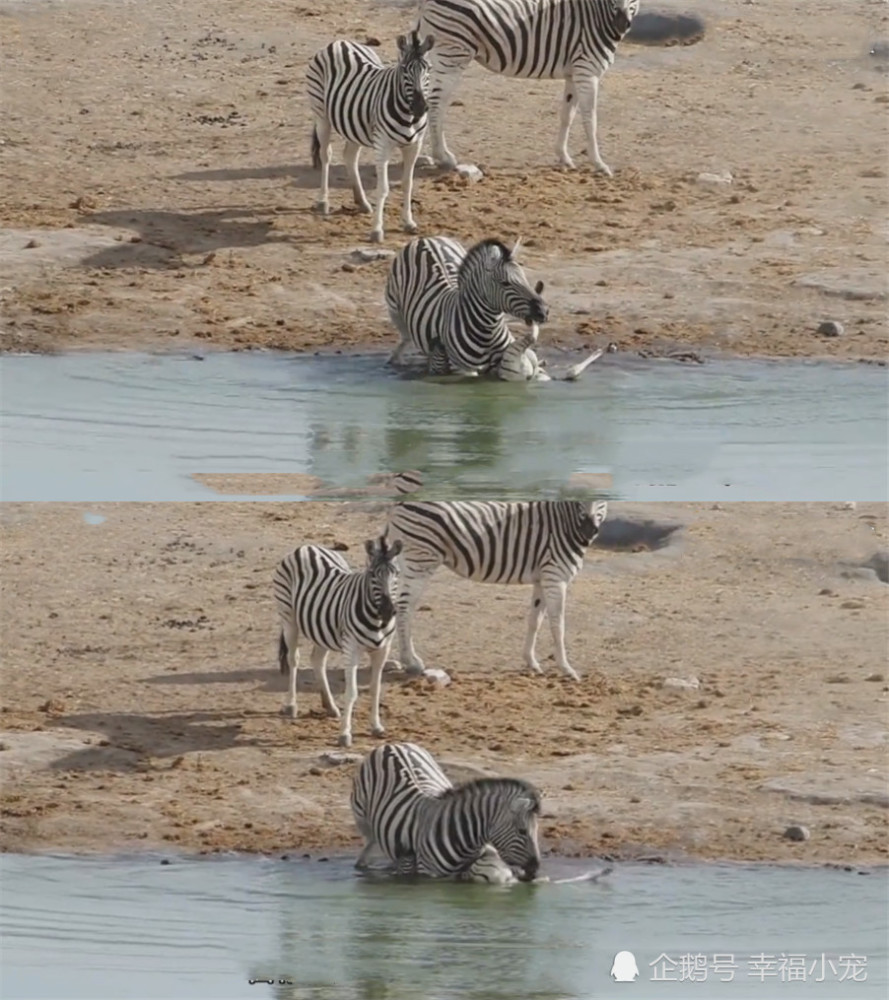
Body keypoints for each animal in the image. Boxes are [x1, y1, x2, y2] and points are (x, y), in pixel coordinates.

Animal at [272, 536, 404, 748]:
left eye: (397, 574)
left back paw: (330, 706)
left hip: (320, 628)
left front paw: (376, 727)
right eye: (372, 575)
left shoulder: (382, 650)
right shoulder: (351, 649)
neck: (376, 620)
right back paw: (291, 704)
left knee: (317, 660)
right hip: (288, 616)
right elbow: (351, 692)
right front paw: (345, 734)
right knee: (294, 659)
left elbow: (375, 689)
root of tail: (307, 546)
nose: (387, 611)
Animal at [350, 744, 536, 884]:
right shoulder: (429, 876)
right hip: (362, 818)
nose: (535, 870)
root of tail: (391, 744)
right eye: (522, 831)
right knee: (369, 842)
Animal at [386, 234, 548, 378]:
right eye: (505, 283)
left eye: (525, 278)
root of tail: (424, 239)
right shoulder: (463, 370)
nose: (543, 311)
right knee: (406, 337)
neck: (488, 329)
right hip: (395, 310)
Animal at [416, 0, 640, 175]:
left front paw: (564, 157)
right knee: (436, 104)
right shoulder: (587, 72)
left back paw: (423, 154)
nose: (622, 24)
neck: (597, 16)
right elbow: (590, 120)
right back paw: (443, 156)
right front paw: (599, 164)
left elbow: (567, 115)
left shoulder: (574, 74)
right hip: (452, 54)